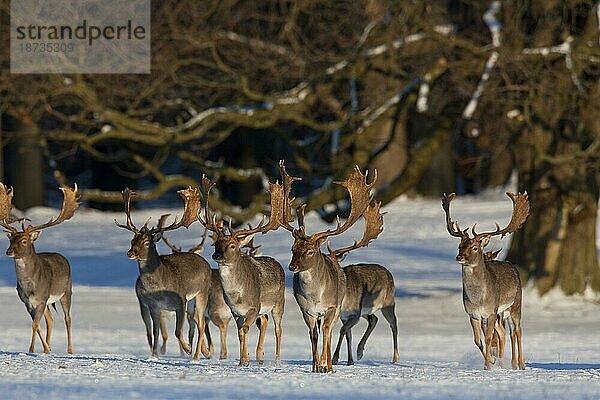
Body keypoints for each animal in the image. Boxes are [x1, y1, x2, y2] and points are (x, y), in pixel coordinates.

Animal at [0, 182, 79, 354]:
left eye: (24, 241)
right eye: (10, 239)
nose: (9, 251)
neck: (30, 287)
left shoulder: (42, 298)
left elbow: (35, 324)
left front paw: (33, 349)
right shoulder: (27, 302)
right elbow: (37, 325)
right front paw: (42, 349)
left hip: (66, 291)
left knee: (68, 318)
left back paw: (70, 350)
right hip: (50, 301)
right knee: (50, 319)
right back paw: (46, 348)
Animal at [116, 188, 212, 360]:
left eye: (147, 242)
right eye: (132, 240)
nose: (130, 253)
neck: (158, 289)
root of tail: (205, 262)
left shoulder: (180, 301)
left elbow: (177, 331)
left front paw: (187, 348)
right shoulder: (154, 307)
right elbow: (156, 333)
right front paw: (154, 356)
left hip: (201, 293)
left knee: (201, 324)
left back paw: (196, 356)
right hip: (190, 302)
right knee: (196, 322)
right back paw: (204, 352)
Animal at [198, 177, 288, 368]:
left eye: (233, 245)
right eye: (216, 244)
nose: (217, 255)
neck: (237, 296)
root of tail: (277, 263)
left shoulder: (254, 306)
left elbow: (245, 329)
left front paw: (245, 359)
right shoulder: (235, 311)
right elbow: (240, 332)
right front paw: (243, 360)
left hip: (278, 302)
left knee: (278, 328)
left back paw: (277, 360)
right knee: (265, 321)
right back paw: (259, 356)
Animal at [272, 161, 380, 374]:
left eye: (310, 251)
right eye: (293, 248)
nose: (292, 266)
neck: (315, 296)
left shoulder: (331, 307)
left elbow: (326, 333)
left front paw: (324, 365)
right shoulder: (306, 310)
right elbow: (313, 335)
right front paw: (315, 366)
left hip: (339, 307)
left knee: (330, 332)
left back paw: (329, 364)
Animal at [440, 191, 528, 368]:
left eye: (475, 247)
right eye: (460, 246)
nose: (459, 257)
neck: (478, 299)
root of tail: (512, 266)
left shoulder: (491, 311)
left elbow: (487, 338)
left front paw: (487, 365)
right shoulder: (473, 314)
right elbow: (477, 340)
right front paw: (492, 361)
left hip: (515, 305)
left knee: (517, 330)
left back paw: (520, 364)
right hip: (501, 313)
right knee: (503, 333)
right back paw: (502, 362)